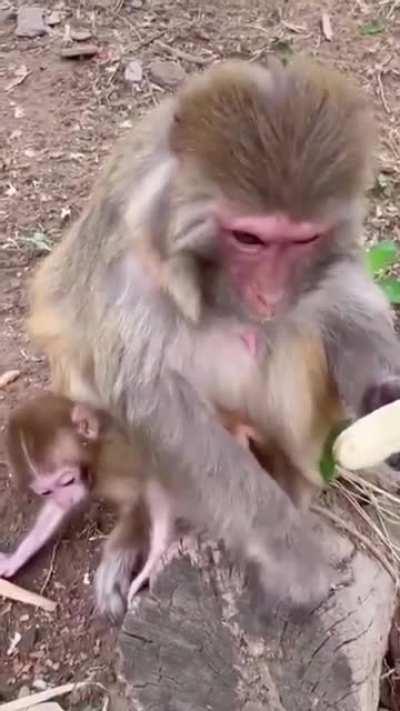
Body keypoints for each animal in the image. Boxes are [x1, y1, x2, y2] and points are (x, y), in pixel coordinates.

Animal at [1, 393, 174, 621]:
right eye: (46, 492)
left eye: (67, 481)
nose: (65, 499)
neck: (93, 457)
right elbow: (56, 511)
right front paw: (16, 558)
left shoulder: (116, 460)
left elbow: (145, 494)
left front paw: (115, 570)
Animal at [25, 55, 400, 623]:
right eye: (248, 238)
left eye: (304, 239)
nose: (270, 293)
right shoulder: (136, 262)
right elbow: (155, 400)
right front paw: (286, 550)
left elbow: (346, 302)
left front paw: (386, 400)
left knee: (289, 334)